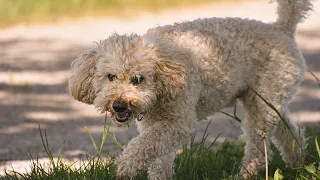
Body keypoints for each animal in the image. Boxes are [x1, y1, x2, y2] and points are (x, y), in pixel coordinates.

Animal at [68, 0, 312, 179]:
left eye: (138, 79)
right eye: (110, 77)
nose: (118, 105)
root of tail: (281, 28)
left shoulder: (179, 122)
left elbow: (144, 145)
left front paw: (126, 166)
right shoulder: (155, 124)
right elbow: (157, 156)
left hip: (263, 103)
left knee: (257, 146)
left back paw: (246, 173)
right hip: (267, 100)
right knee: (288, 131)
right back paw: (297, 162)